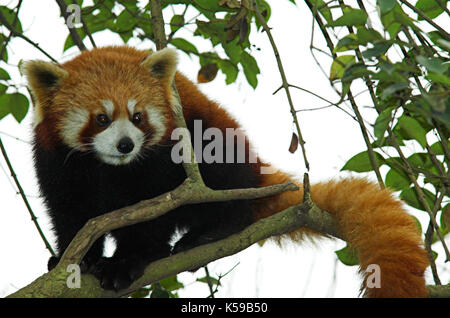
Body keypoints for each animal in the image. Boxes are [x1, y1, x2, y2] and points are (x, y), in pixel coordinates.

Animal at [22, 46, 428, 296]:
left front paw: (126, 261)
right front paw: (75, 257)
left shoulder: (165, 160)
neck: (112, 169)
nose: (125, 145)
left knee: (227, 186)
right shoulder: (59, 163)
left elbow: (153, 219)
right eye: (101, 119)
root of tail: (257, 174)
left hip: (217, 145)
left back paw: (210, 231)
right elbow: (69, 212)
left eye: (137, 117)